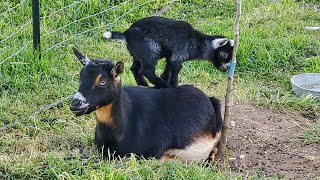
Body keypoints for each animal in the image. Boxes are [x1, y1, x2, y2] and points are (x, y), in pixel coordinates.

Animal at [104, 16, 234, 88]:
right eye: (223, 54)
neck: (196, 41)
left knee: (135, 69)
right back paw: (162, 85)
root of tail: (126, 34)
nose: (227, 68)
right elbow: (175, 73)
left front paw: (165, 79)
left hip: (137, 54)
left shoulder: (171, 57)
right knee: (146, 70)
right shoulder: (177, 55)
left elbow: (167, 71)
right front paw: (173, 86)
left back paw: (144, 85)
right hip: (150, 50)